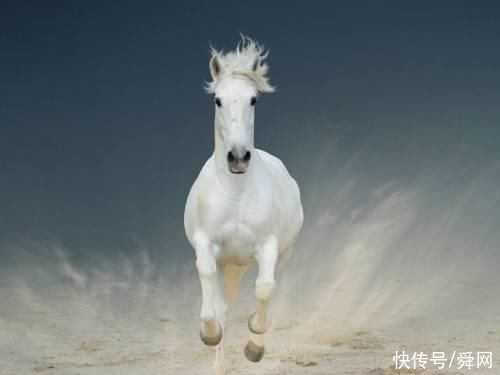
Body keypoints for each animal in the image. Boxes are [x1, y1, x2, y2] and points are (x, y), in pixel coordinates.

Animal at [183, 36, 300, 374]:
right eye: (218, 100)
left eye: (253, 100)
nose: (237, 156)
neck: (236, 193)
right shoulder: (206, 244)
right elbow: (211, 296)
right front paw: (209, 334)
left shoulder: (268, 246)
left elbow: (264, 289)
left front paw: (254, 347)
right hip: (230, 262)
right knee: (223, 303)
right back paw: (219, 363)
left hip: (278, 255)